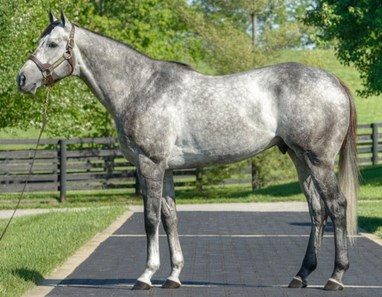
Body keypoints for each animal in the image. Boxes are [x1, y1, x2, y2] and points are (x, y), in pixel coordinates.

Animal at [17, 13, 358, 290]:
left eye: (53, 44)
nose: (22, 79)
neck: (140, 87)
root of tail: (334, 82)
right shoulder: (166, 169)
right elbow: (170, 218)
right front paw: (173, 276)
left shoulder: (150, 165)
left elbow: (150, 219)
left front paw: (146, 276)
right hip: (300, 159)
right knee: (317, 210)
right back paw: (301, 275)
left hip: (318, 160)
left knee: (337, 206)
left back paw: (336, 277)